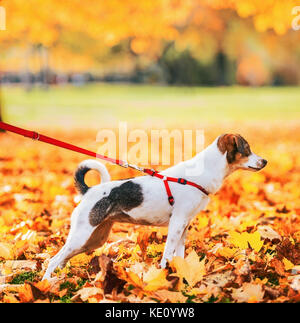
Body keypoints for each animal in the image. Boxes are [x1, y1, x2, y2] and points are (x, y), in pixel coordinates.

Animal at [42, 134, 268, 280]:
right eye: (247, 149)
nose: (265, 161)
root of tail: (89, 191)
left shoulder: (184, 225)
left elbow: (179, 254)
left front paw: (181, 273)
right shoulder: (177, 223)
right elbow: (168, 253)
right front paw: (165, 273)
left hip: (94, 240)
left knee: (62, 260)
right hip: (81, 236)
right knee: (54, 260)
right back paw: (47, 284)